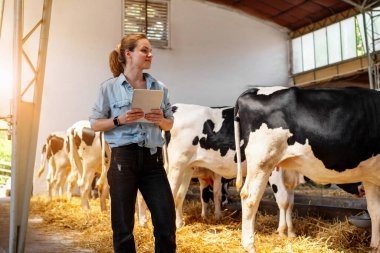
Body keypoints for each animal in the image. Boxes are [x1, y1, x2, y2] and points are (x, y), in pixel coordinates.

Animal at [235, 86, 380, 252]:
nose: (361, 189)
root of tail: (255, 89)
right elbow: (283, 201)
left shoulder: (370, 176)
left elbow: (375, 211)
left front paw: (375, 246)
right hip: (262, 162)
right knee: (250, 198)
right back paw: (250, 246)